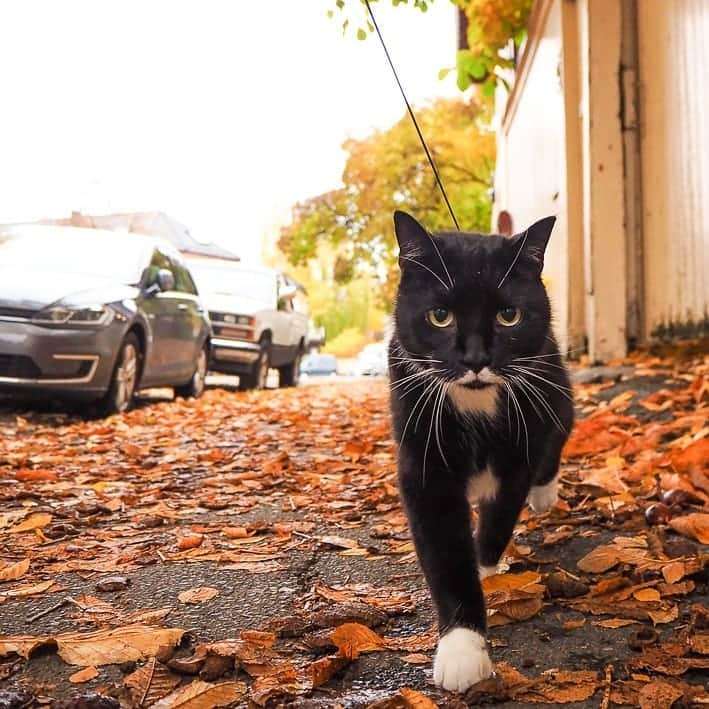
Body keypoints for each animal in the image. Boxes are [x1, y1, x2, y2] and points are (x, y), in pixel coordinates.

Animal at [390, 210, 572, 692]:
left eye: (509, 315)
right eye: (440, 315)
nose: (475, 358)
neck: (474, 403)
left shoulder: (521, 449)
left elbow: (500, 515)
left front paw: (486, 566)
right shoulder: (423, 465)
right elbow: (445, 553)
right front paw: (462, 650)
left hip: (557, 389)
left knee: (557, 438)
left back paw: (544, 495)